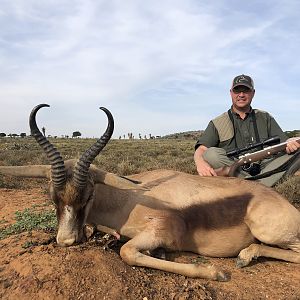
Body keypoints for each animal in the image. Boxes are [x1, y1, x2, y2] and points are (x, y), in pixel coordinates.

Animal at [0, 103, 300, 282]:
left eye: (88, 196)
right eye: (53, 197)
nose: (65, 240)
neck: (128, 200)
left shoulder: (159, 233)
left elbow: (127, 252)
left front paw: (215, 272)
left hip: (270, 231)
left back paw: (244, 257)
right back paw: (246, 255)